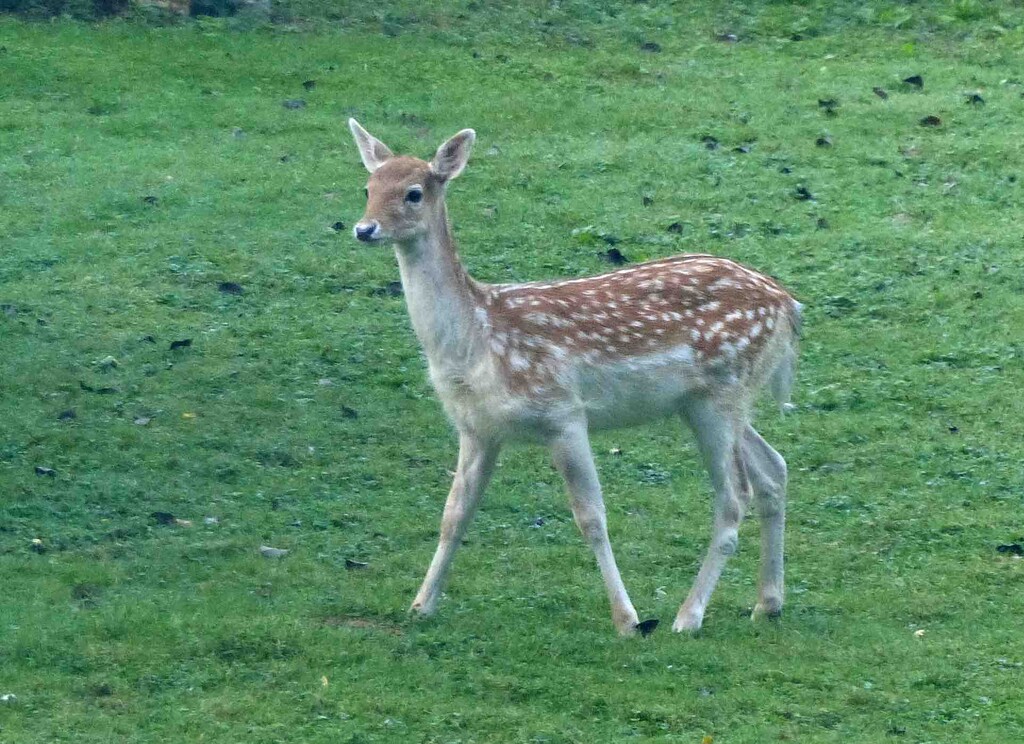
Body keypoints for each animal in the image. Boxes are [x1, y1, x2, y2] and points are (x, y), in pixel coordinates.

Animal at [348, 119, 802, 638]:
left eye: (414, 192)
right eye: (368, 187)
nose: (364, 228)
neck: (477, 340)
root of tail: (789, 306)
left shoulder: (562, 411)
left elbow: (591, 518)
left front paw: (627, 620)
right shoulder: (477, 428)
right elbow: (453, 515)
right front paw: (421, 604)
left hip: (722, 391)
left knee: (733, 497)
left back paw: (688, 616)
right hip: (711, 400)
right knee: (774, 469)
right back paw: (767, 603)